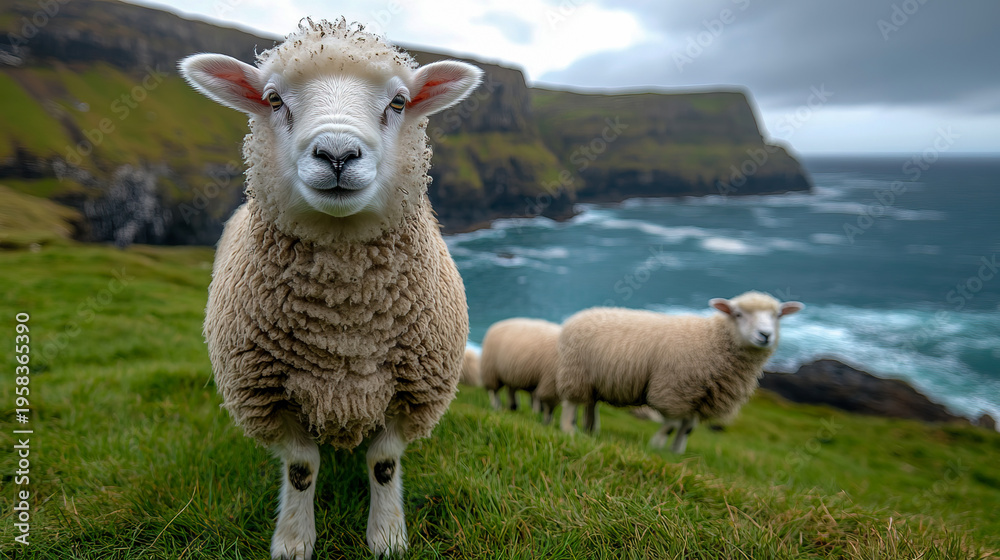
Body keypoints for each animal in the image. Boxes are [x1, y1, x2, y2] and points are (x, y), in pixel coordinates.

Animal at [179, 18, 481, 559]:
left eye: (399, 102)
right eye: (273, 99)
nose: (337, 154)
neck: (343, 323)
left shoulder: (411, 393)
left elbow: (383, 463)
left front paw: (387, 536)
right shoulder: (269, 396)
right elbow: (302, 468)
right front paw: (294, 540)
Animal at [557, 291, 803, 453]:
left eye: (778, 315)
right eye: (738, 314)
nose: (765, 335)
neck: (712, 340)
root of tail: (579, 315)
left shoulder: (700, 396)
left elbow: (688, 428)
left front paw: (677, 452)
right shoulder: (675, 391)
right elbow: (672, 425)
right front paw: (656, 447)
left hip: (592, 378)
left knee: (590, 403)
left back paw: (591, 430)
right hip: (574, 372)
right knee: (571, 404)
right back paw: (569, 431)